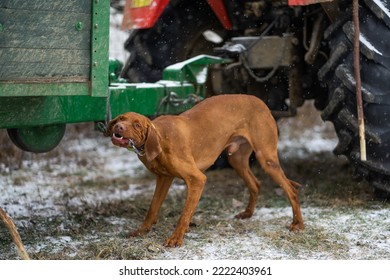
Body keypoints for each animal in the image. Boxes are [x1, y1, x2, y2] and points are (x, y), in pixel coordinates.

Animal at [106, 94, 304, 247]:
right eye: (121, 118)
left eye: (137, 125)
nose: (118, 127)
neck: (161, 138)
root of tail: (261, 102)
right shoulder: (164, 179)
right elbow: (152, 208)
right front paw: (142, 231)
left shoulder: (197, 179)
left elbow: (184, 215)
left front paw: (176, 239)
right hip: (236, 159)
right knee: (256, 184)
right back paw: (248, 213)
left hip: (266, 159)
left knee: (291, 190)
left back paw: (297, 224)